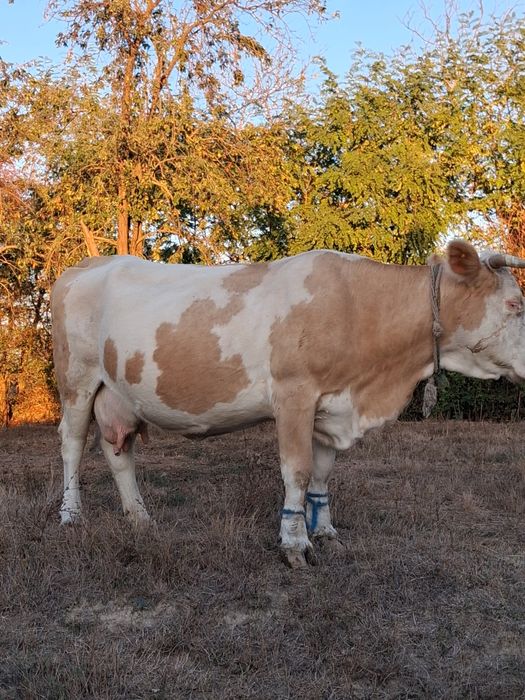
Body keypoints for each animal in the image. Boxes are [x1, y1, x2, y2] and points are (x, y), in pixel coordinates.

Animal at [51, 240, 525, 567]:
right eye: (515, 304)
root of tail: (90, 264)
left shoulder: (332, 406)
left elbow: (321, 473)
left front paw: (327, 531)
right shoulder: (294, 393)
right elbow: (296, 470)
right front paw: (295, 543)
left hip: (118, 392)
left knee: (118, 452)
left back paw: (139, 518)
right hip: (76, 379)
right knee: (71, 443)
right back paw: (71, 516)